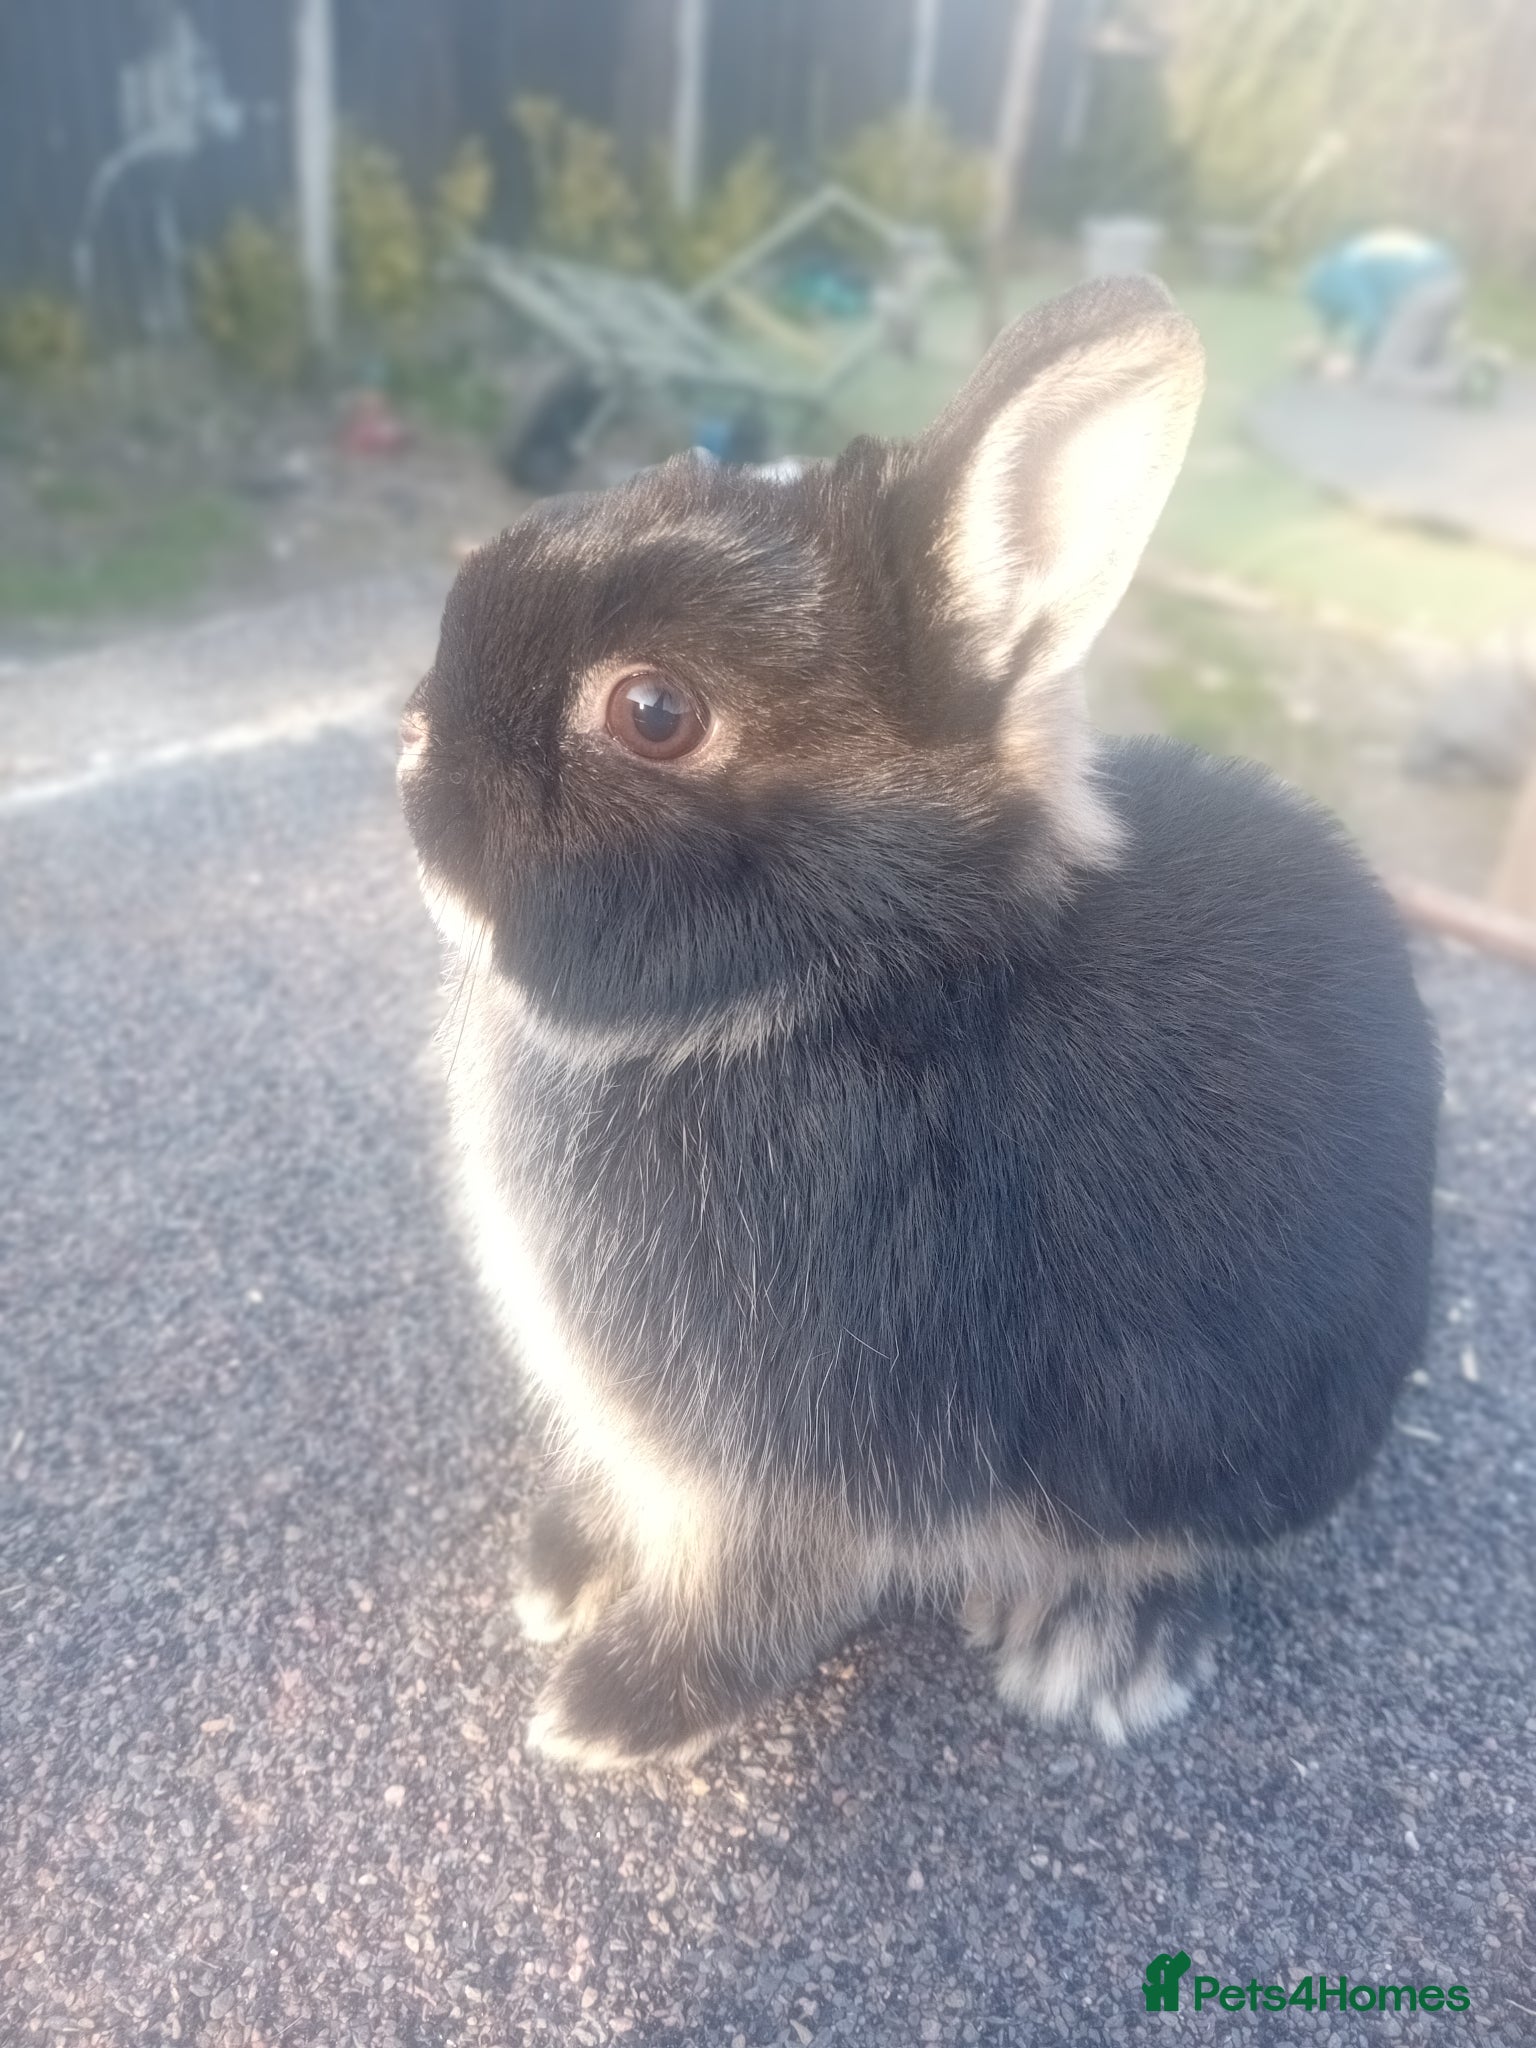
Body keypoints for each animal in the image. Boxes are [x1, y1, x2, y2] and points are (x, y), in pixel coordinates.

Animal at [398, 276, 1440, 1769]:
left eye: (653, 711)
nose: (411, 747)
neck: (836, 996)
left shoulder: (800, 1468)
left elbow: (762, 1595)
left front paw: (614, 1709)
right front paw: (567, 1561)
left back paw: (1094, 1648)